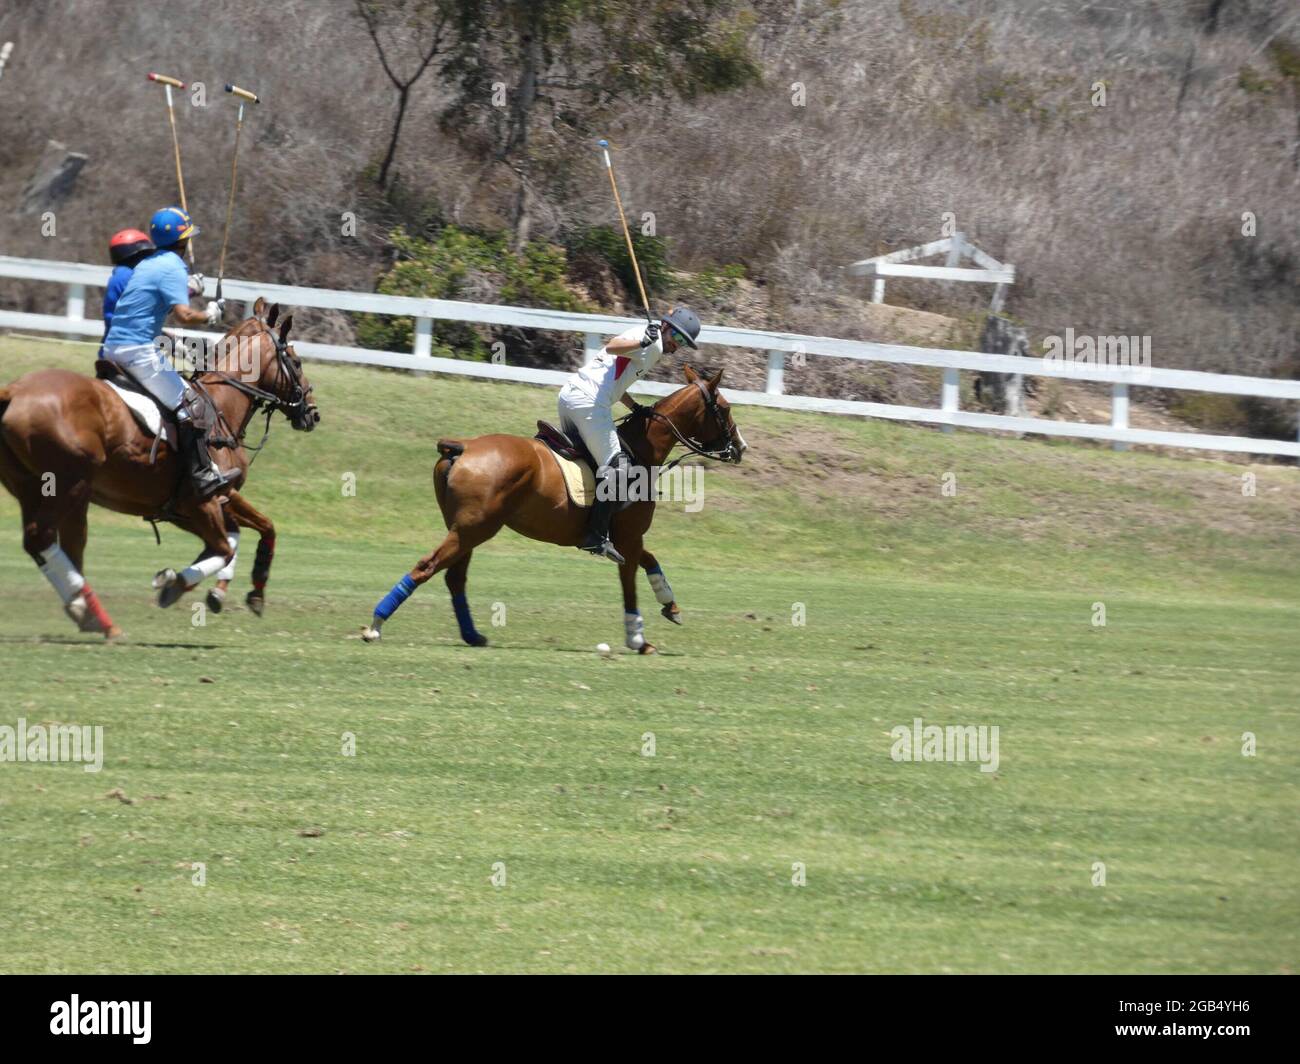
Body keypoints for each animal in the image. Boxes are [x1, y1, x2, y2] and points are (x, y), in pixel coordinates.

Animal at [0, 293, 317, 634]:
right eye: (296, 361)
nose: (313, 413)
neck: (222, 405)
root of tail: (14, 391)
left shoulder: (187, 505)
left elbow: (242, 534)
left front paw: (224, 593)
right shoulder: (203, 499)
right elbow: (231, 543)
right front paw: (175, 583)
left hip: (36, 487)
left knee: (62, 543)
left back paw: (87, 611)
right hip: (68, 485)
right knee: (44, 538)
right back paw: (96, 616)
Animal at [361, 366, 748, 655]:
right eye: (726, 408)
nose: (740, 448)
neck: (641, 452)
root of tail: (461, 447)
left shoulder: (627, 537)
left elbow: (649, 561)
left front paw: (671, 606)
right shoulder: (629, 536)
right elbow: (629, 583)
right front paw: (638, 639)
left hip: (464, 529)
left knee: (454, 576)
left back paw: (472, 635)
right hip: (474, 528)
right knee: (427, 566)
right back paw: (376, 626)